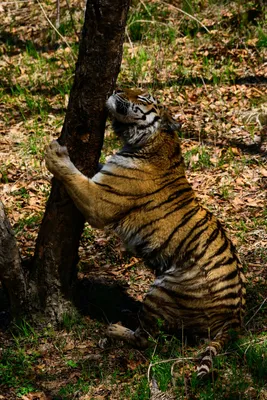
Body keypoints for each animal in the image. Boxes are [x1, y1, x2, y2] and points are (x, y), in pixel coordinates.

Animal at [44, 87, 247, 378]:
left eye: (143, 98)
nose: (117, 89)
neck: (150, 141)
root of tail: (236, 318)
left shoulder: (98, 202)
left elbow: (73, 175)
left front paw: (54, 153)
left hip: (163, 292)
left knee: (147, 339)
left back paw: (115, 329)